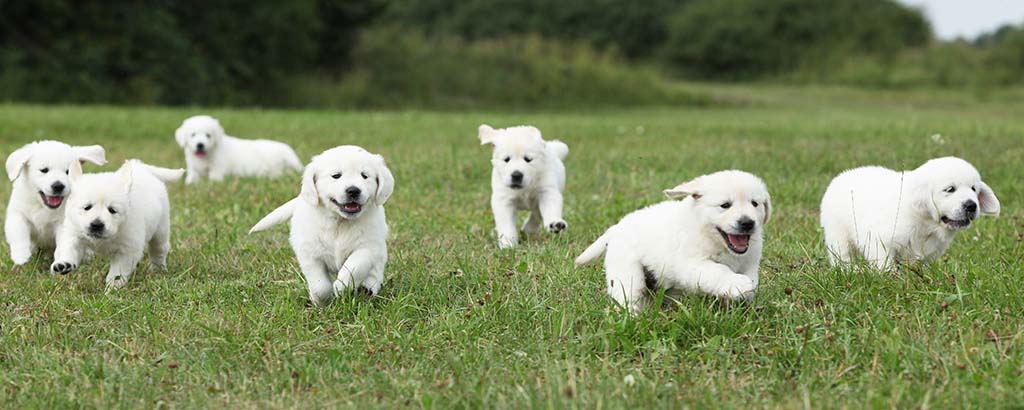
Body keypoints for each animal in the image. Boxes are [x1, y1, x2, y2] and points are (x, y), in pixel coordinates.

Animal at [48, 158, 185, 289]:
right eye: (87, 207)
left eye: (112, 210)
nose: (96, 225)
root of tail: (140, 167)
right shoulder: (73, 233)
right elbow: (69, 249)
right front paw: (64, 264)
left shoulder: (127, 249)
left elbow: (118, 271)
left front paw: (113, 287)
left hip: (161, 228)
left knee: (159, 249)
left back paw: (158, 269)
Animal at [246, 145, 391, 305]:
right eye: (336, 176)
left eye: (364, 176)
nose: (353, 190)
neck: (340, 222)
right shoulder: (309, 252)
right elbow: (320, 284)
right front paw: (321, 301)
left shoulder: (368, 246)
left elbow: (355, 266)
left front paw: (342, 286)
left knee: (376, 269)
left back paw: (368, 288)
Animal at [577, 170, 770, 313]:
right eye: (725, 205)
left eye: (755, 203)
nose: (747, 223)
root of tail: (616, 227)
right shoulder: (692, 264)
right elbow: (718, 271)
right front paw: (739, 285)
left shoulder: (750, 263)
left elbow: (751, 279)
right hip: (627, 275)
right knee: (628, 298)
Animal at [815, 154, 999, 268]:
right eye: (950, 189)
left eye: (974, 189)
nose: (972, 206)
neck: (925, 223)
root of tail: (840, 177)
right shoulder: (879, 240)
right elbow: (884, 264)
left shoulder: (929, 252)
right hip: (837, 232)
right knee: (842, 255)